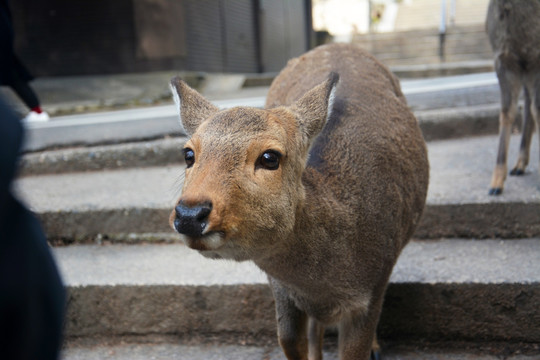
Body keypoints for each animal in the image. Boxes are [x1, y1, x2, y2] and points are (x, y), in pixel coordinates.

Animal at [169, 43, 430, 358]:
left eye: (270, 157)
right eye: (188, 154)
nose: (189, 214)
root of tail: (336, 44)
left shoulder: (375, 284)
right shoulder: (282, 290)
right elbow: (289, 339)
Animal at [486, 0, 540, 195]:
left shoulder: (536, 61)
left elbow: (537, 110)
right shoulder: (504, 60)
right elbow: (506, 113)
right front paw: (495, 184)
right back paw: (519, 165)